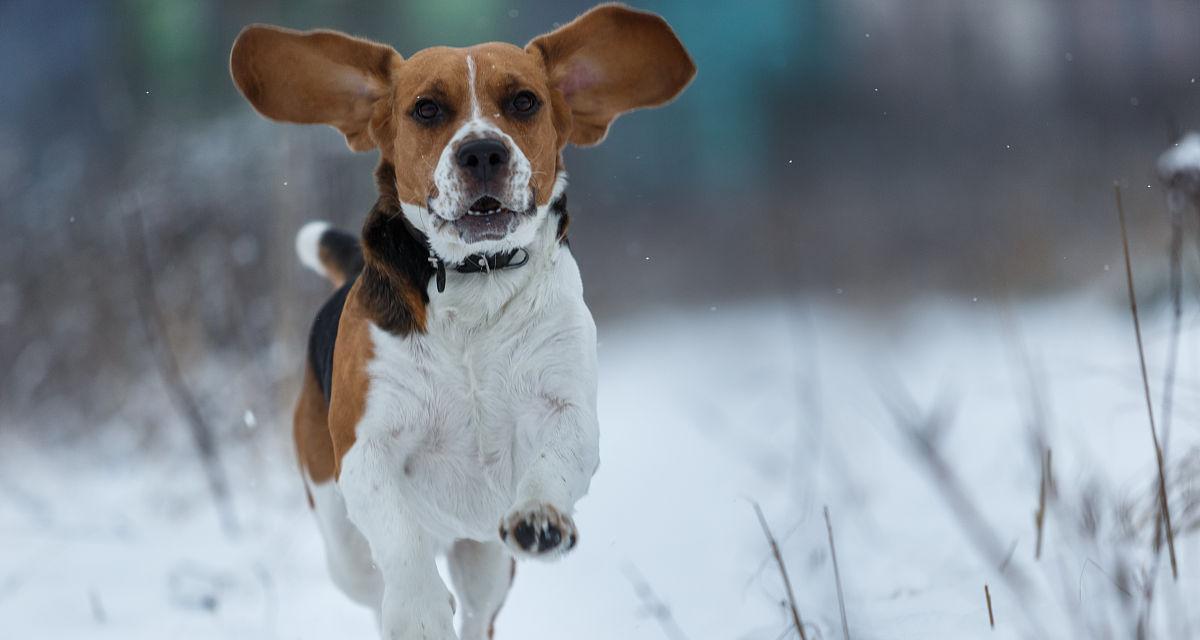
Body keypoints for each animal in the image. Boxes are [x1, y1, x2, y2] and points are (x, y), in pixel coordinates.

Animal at [229, 4, 696, 638]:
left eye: (524, 101)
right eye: (427, 108)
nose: (482, 153)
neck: (476, 279)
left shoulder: (566, 410)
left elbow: (553, 461)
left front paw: (541, 517)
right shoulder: (365, 448)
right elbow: (400, 541)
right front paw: (420, 611)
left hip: (484, 559)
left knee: (476, 612)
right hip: (342, 543)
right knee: (373, 579)